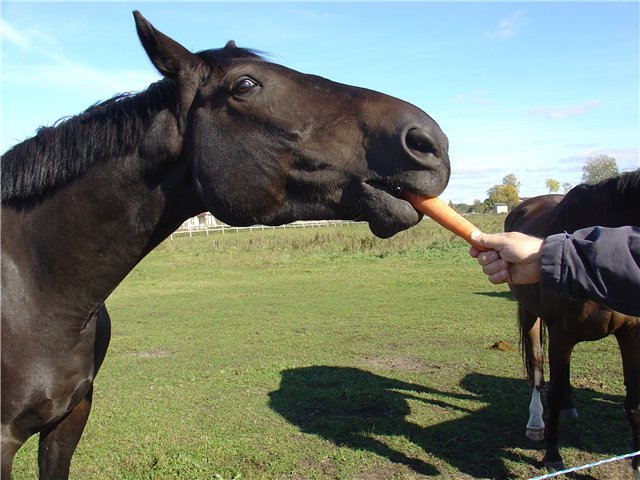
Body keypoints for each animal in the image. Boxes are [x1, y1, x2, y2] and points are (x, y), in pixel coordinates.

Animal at [504, 170, 640, 476]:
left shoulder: (631, 333)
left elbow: (634, 402)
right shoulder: (561, 332)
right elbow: (551, 392)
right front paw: (552, 456)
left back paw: (569, 406)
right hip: (531, 314)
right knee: (537, 364)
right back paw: (536, 424)